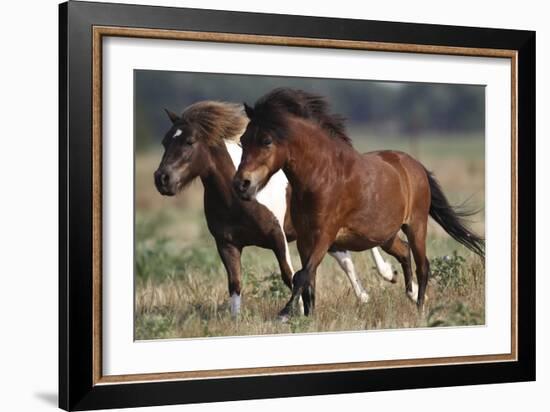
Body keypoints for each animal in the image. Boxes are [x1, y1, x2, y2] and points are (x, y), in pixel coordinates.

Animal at [235, 87, 486, 318]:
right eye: (242, 141)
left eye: (266, 141)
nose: (241, 184)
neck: (322, 176)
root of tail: (415, 166)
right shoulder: (305, 239)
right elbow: (308, 280)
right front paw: (308, 317)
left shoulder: (325, 235)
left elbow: (302, 275)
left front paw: (285, 313)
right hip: (385, 235)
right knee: (404, 252)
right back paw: (410, 292)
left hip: (416, 225)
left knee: (423, 266)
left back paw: (420, 308)